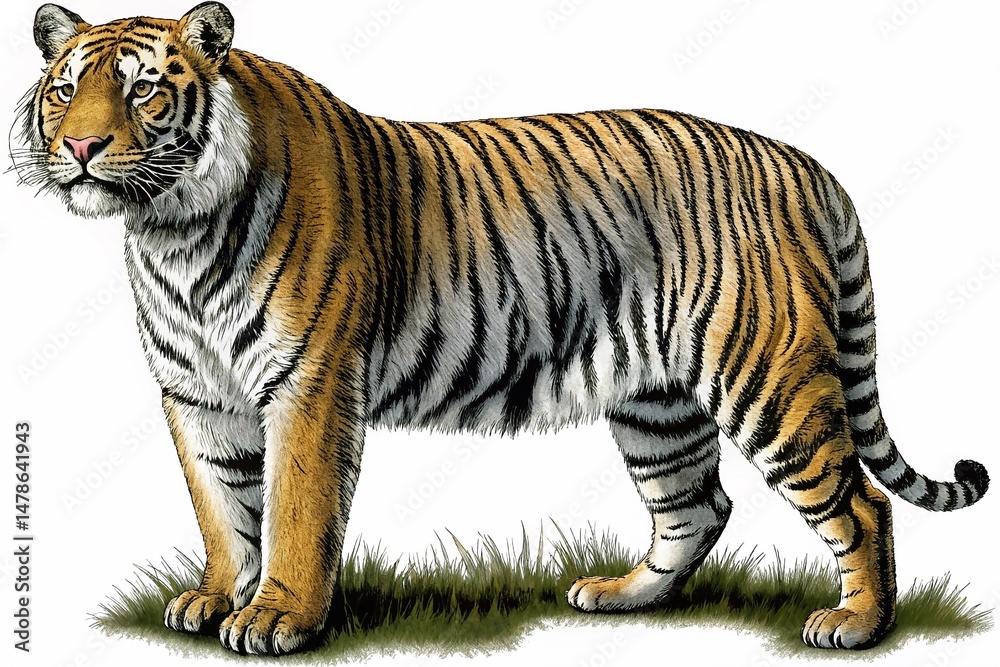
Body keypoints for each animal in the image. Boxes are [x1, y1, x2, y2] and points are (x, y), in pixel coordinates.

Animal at [14, 1, 989, 656]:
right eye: (64, 90)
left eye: (143, 90)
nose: (81, 148)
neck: (174, 227)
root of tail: (801, 162)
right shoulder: (197, 394)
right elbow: (222, 508)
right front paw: (216, 598)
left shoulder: (309, 383)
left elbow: (291, 508)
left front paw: (279, 615)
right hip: (657, 402)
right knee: (696, 504)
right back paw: (623, 596)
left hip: (768, 380)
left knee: (858, 502)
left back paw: (856, 623)